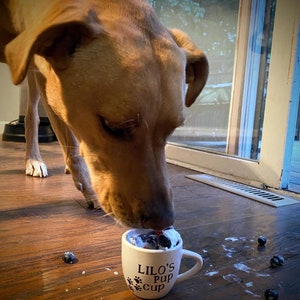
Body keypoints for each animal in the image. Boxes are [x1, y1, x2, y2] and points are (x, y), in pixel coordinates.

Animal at [0, 0, 207, 230]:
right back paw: (34, 160)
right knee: (31, 116)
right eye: (112, 126)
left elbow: (71, 145)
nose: (162, 222)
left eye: (172, 130)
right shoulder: (45, 79)